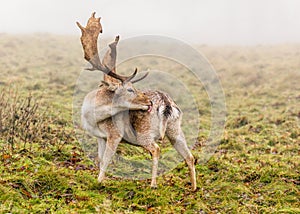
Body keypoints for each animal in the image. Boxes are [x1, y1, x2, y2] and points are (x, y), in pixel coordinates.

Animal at [77, 12, 197, 191]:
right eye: (130, 89)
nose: (148, 102)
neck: (92, 117)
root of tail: (166, 103)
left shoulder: (114, 134)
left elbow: (105, 160)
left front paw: (98, 182)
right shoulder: (100, 137)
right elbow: (99, 159)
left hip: (144, 134)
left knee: (156, 149)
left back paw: (153, 184)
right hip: (175, 129)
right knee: (189, 156)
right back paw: (194, 187)